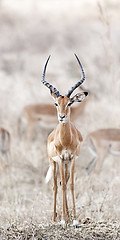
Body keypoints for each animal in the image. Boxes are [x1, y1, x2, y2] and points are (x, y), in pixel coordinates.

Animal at [42, 54, 88, 225]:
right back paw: (55, 217)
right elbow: (61, 186)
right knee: (56, 185)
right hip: (53, 162)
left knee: (65, 182)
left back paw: (67, 215)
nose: (61, 117)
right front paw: (62, 220)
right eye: (56, 103)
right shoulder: (61, 159)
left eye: (69, 103)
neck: (66, 141)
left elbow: (72, 184)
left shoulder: (72, 158)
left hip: (67, 164)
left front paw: (73, 219)